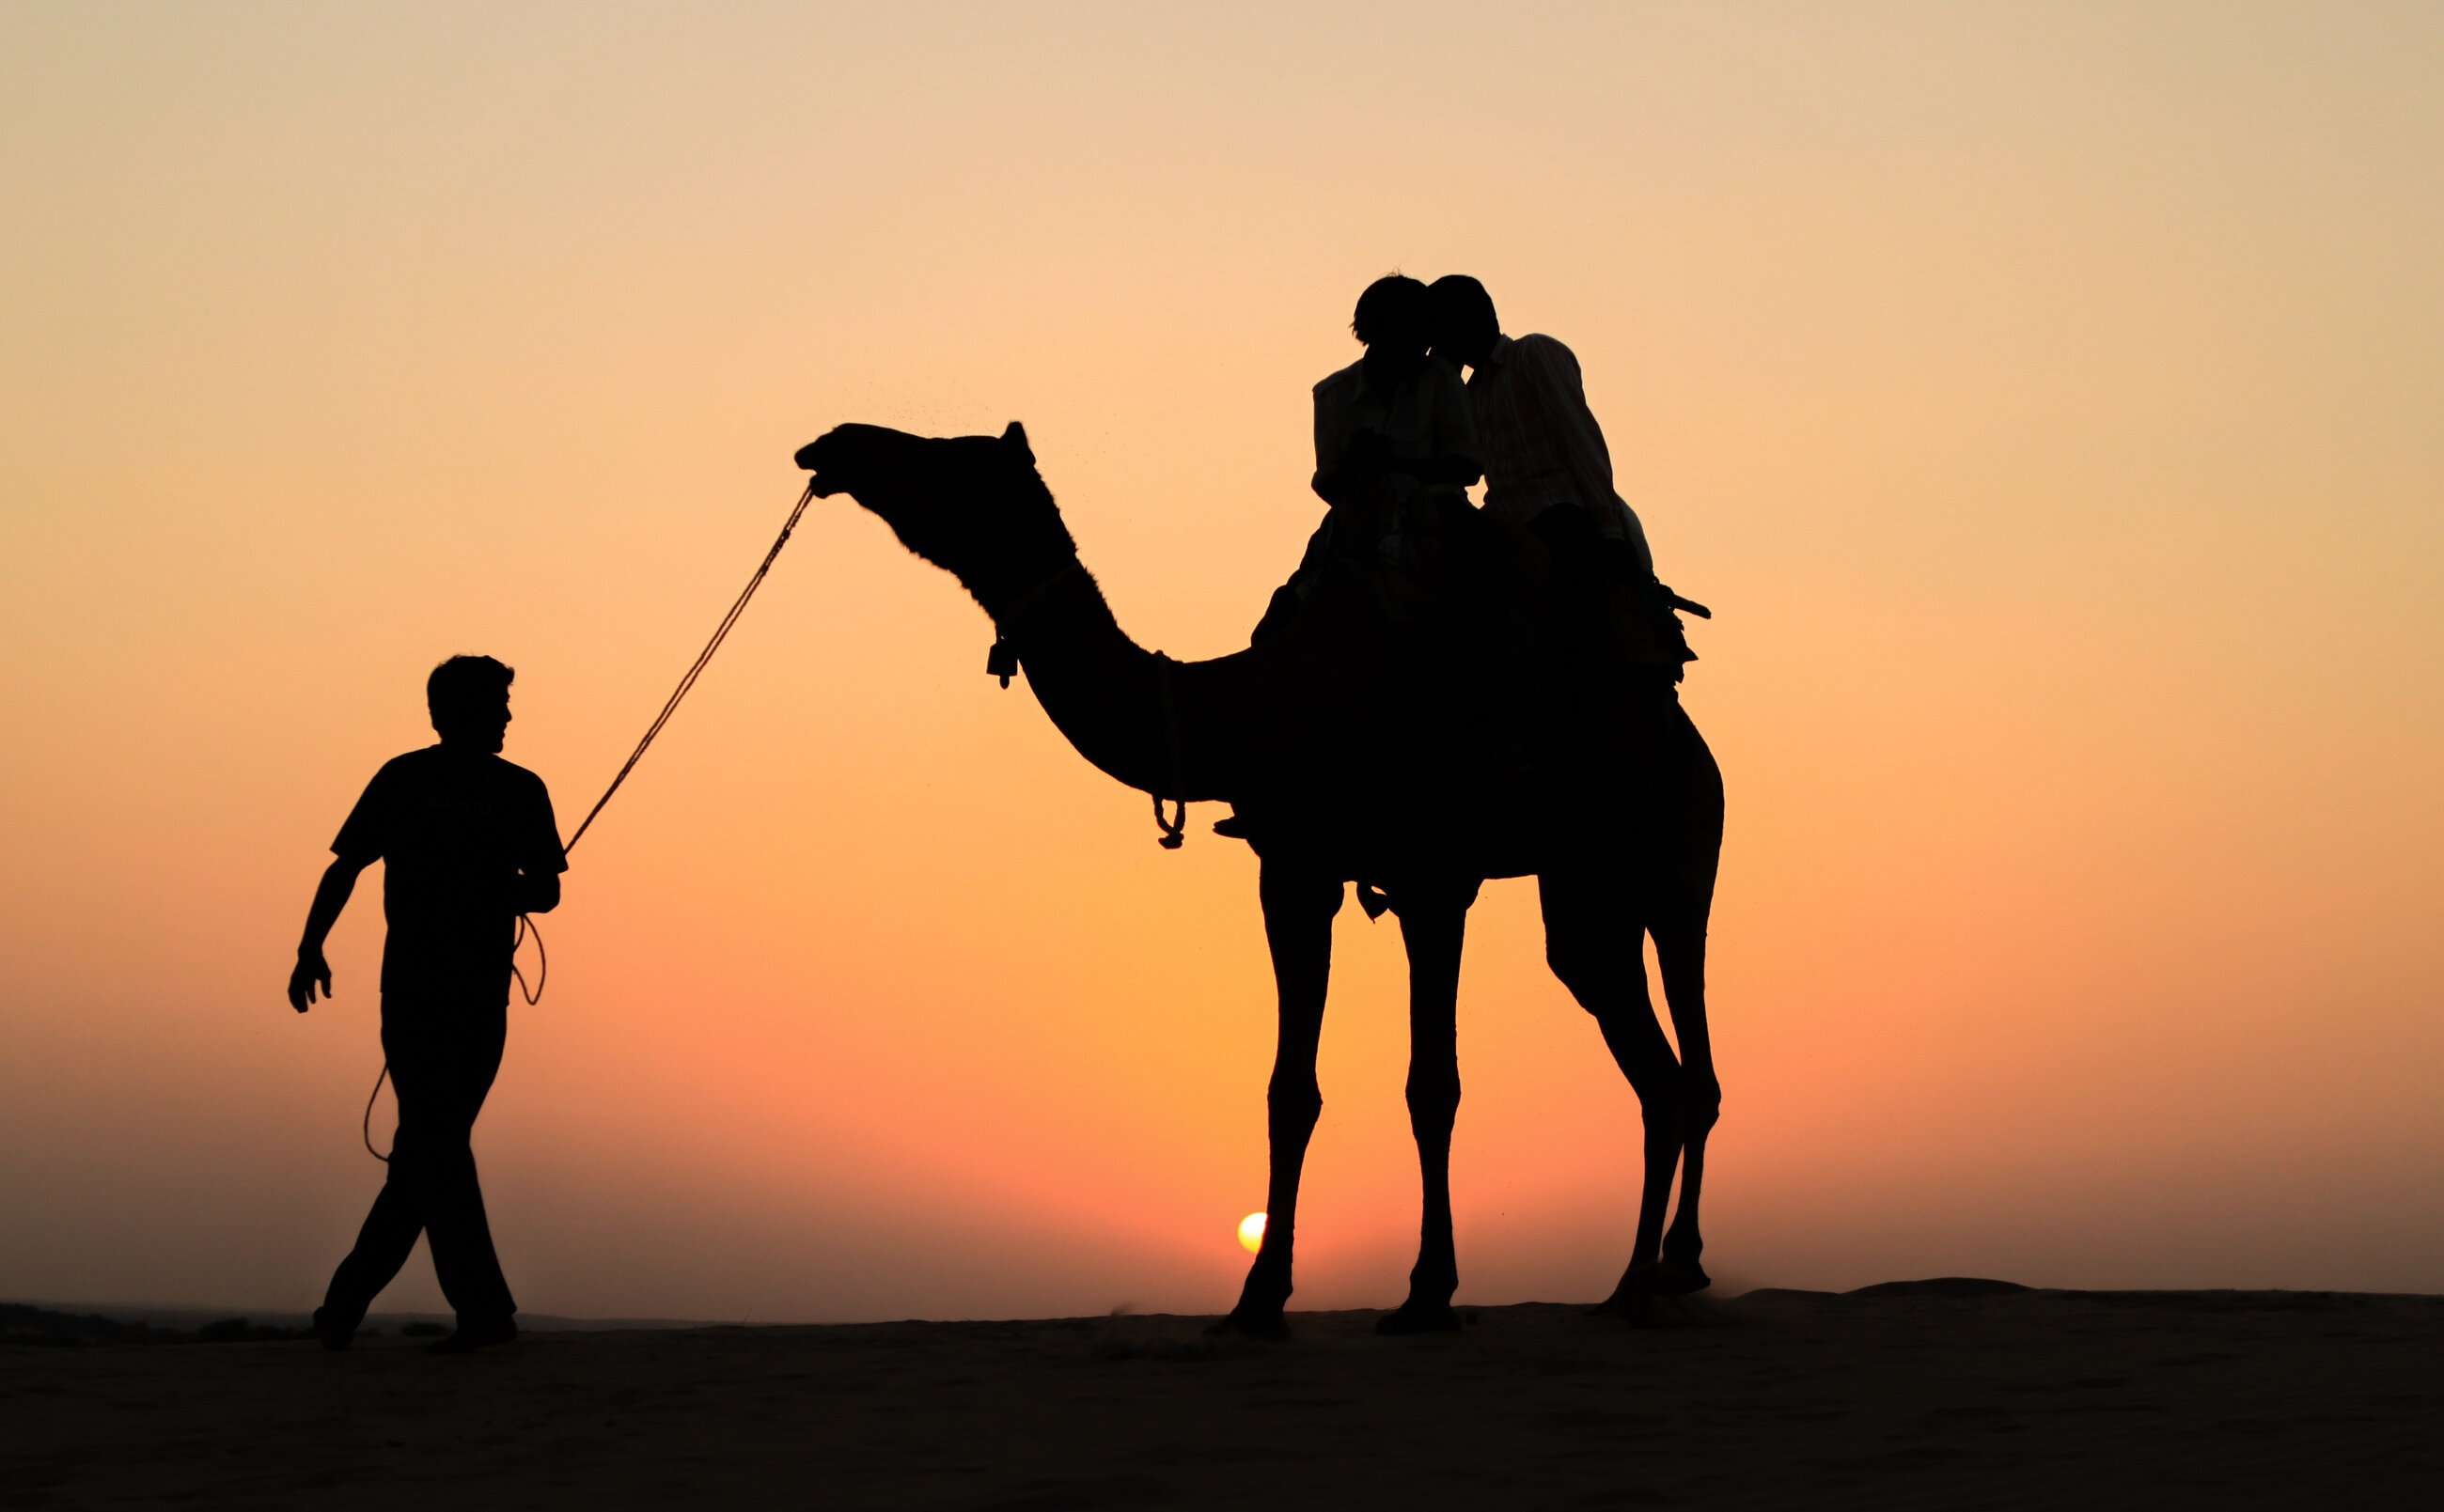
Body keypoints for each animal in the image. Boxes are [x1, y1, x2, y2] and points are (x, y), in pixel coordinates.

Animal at [796, 422, 1720, 1338]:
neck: (1275, 706)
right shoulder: (1294, 871)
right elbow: (1290, 1090)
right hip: (1584, 887)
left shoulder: (1432, 878)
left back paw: (1670, 1266)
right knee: (1643, 1048)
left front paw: (1427, 1291)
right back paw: (1635, 1282)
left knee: (1688, 1041)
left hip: (1677, 858)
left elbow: (1432, 1085)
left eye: (950, 458)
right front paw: (1258, 1296)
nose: (834, 446)